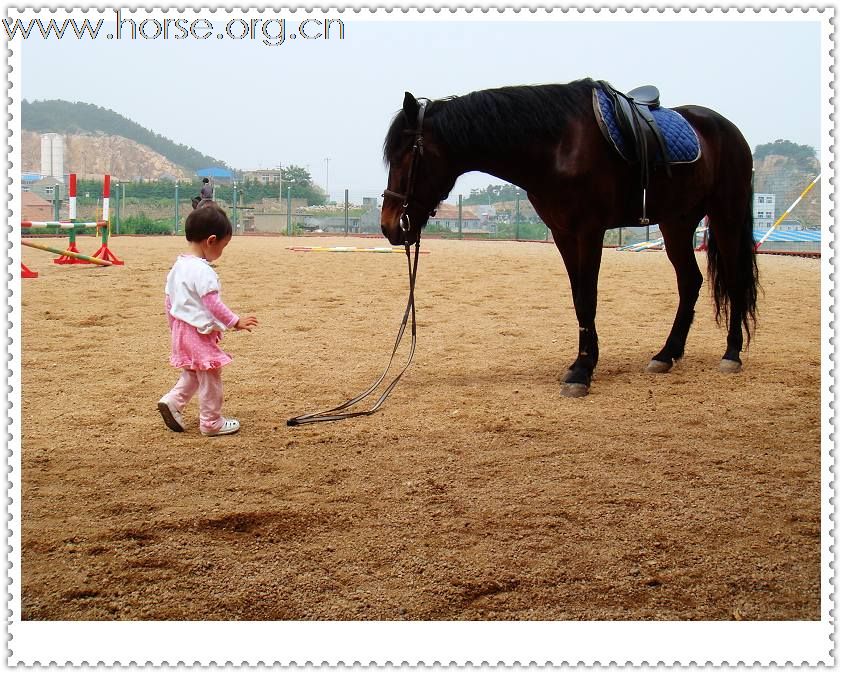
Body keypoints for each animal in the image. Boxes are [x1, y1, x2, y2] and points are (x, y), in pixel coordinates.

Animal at [384, 79, 756, 396]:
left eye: (407, 154)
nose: (390, 226)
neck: (557, 145)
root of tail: (729, 130)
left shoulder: (589, 231)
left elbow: (588, 297)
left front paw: (582, 371)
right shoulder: (563, 233)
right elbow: (578, 297)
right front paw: (583, 360)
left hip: (726, 215)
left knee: (734, 279)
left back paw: (731, 354)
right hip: (676, 223)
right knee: (690, 281)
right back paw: (666, 354)